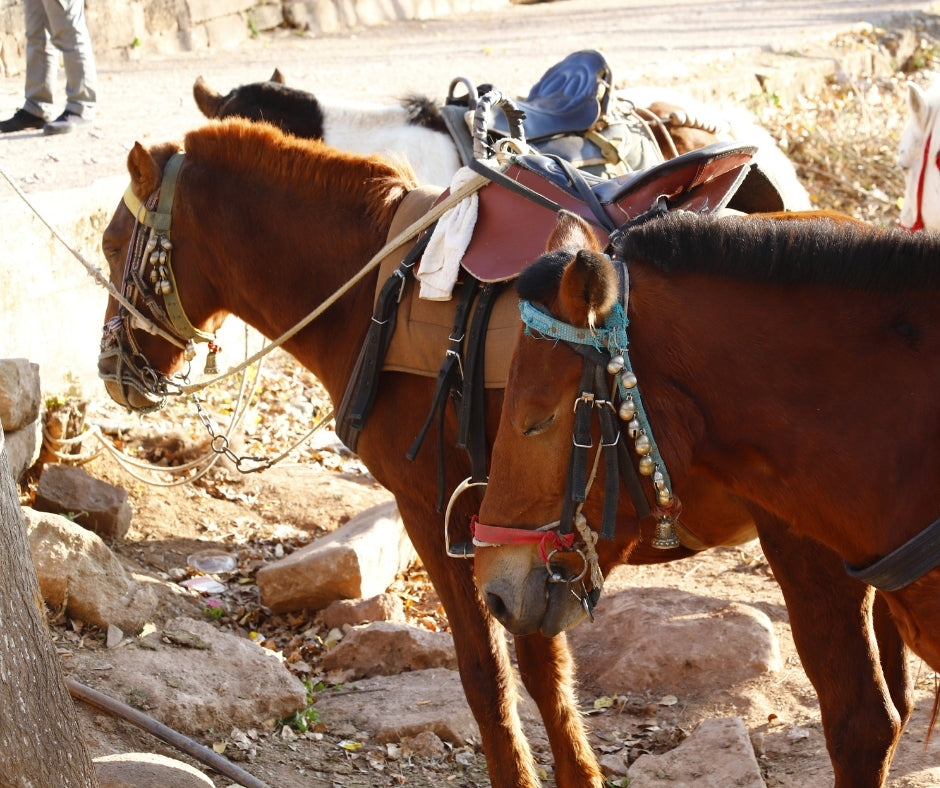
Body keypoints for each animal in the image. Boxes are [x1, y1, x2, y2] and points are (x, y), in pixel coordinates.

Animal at [101, 118, 912, 788]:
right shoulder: (524, 542)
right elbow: (542, 664)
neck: (372, 290)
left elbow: (487, 673)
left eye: (113, 246)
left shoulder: (435, 512)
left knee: (861, 720)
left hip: (809, 547)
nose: (113, 370)